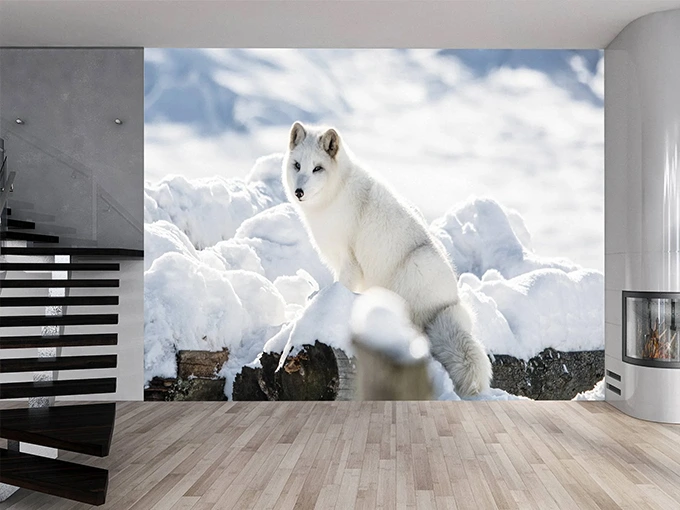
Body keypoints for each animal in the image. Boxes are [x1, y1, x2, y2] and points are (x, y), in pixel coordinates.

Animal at [282, 121, 492, 397]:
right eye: (297, 165)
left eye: (317, 168)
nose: (299, 192)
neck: (335, 194)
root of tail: (449, 304)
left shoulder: (349, 261)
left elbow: (340, 286)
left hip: (413, 269)